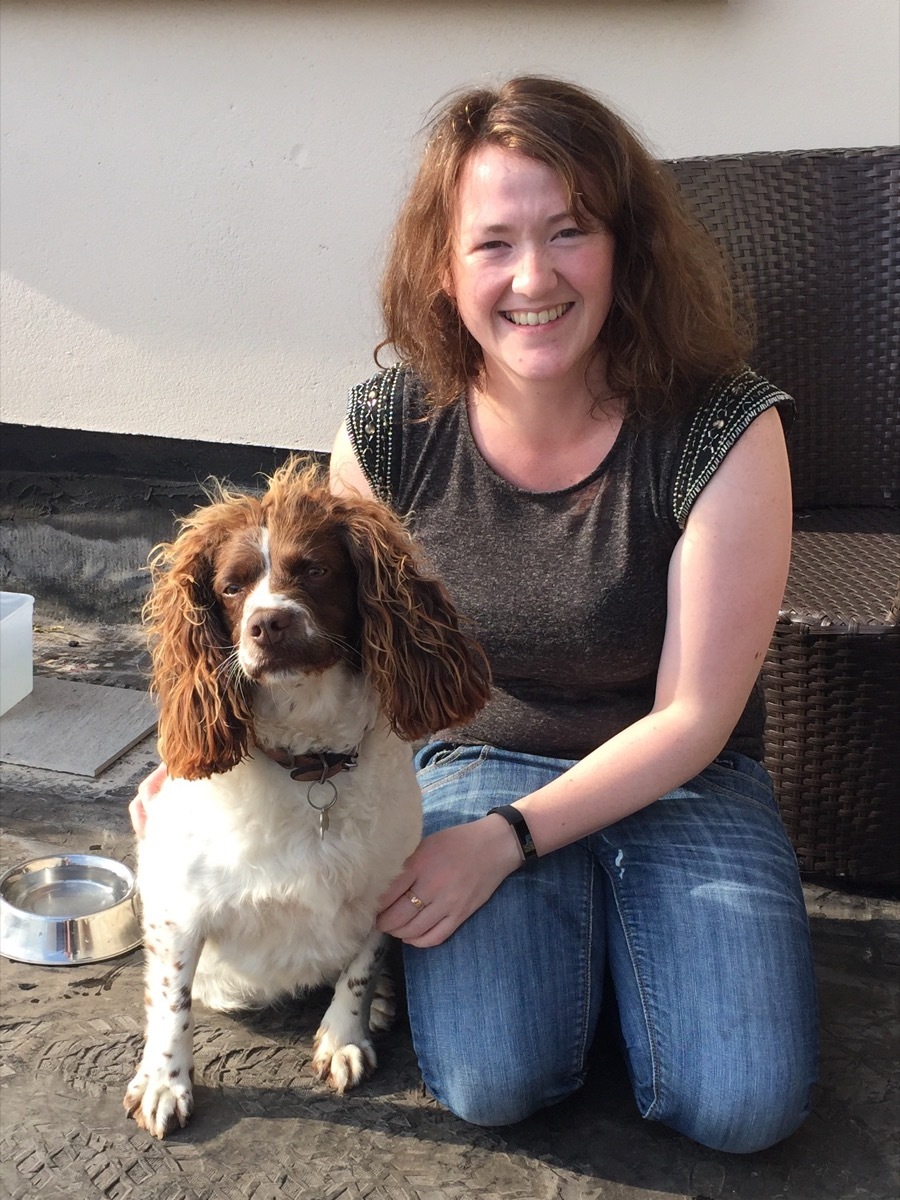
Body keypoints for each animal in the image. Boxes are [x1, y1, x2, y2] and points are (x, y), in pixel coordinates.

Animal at [123, 456, 489, 1132]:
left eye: (314, 570)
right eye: (231, 587)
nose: (269, 623)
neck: (311, 764)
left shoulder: (385, 887)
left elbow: (359, 970)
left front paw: (344, 1036)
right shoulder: (177, 909)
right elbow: (171, 1001)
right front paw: (164, 1080)